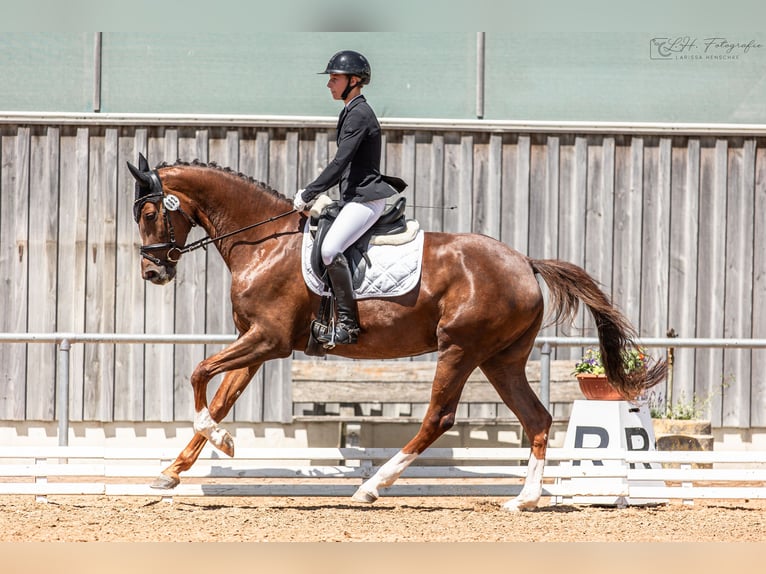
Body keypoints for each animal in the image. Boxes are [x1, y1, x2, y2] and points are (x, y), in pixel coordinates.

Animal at [127, 154, 666, 511]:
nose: (153, 273)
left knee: (439, 418)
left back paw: (372, 487)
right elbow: (219, 398)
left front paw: (219, 442)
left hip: (461, 349)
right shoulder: (257, 344)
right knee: (536, 419)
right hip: (502, 359)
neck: (261, 242)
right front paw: (173, 472)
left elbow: (198, 374)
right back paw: (525, 500)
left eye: (151, 213)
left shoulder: (269, 340)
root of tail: (525, 262)